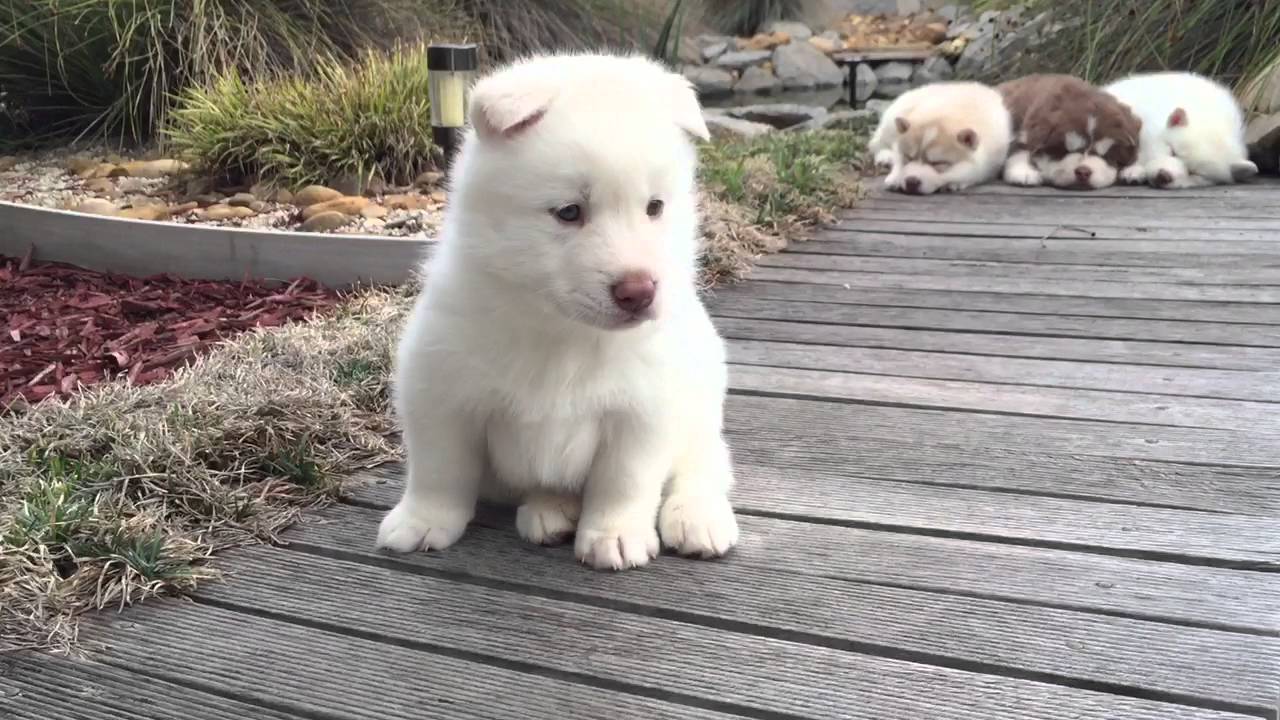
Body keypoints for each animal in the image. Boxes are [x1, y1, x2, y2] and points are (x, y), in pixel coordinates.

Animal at [373, 53, 742, 568]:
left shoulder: (643, 412)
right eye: (569, 212)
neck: (561, 332)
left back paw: (697, 518)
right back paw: (551, 510)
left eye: (654, 207)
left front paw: (615, 534)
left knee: (704, 467)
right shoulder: (439, 392)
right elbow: (438, 470)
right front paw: (422, 520)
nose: (640, 291)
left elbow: (623, 482)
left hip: (701, 406)